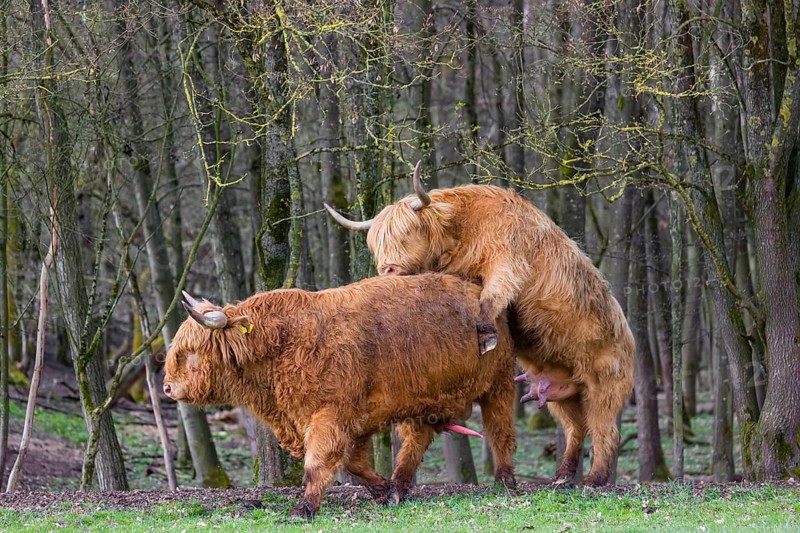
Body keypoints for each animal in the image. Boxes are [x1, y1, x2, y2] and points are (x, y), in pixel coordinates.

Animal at [163, 274, 517, 520]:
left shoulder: (329, 416)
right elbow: (353, 463)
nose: (167, 387)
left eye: (190, 352)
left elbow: (318, 463)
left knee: (500, 433)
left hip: (499, 385)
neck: (281, 346)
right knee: (415, 441)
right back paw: (400, 486)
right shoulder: (349, 421)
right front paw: (383, 491)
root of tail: (478, 290)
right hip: (424, 403)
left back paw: (505, 482)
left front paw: (304, 509)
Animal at [325, 162, 635, 487]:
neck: (462, 229)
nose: (388, 270)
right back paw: (561, 476)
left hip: (605, 384)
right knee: (575, 427)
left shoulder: (507, 259)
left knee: (604, 430)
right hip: (559, 394)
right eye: (376, 244)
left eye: (408, 232)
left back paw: (594, 479)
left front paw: (486, 335)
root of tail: (628, 337)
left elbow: (493, 295)